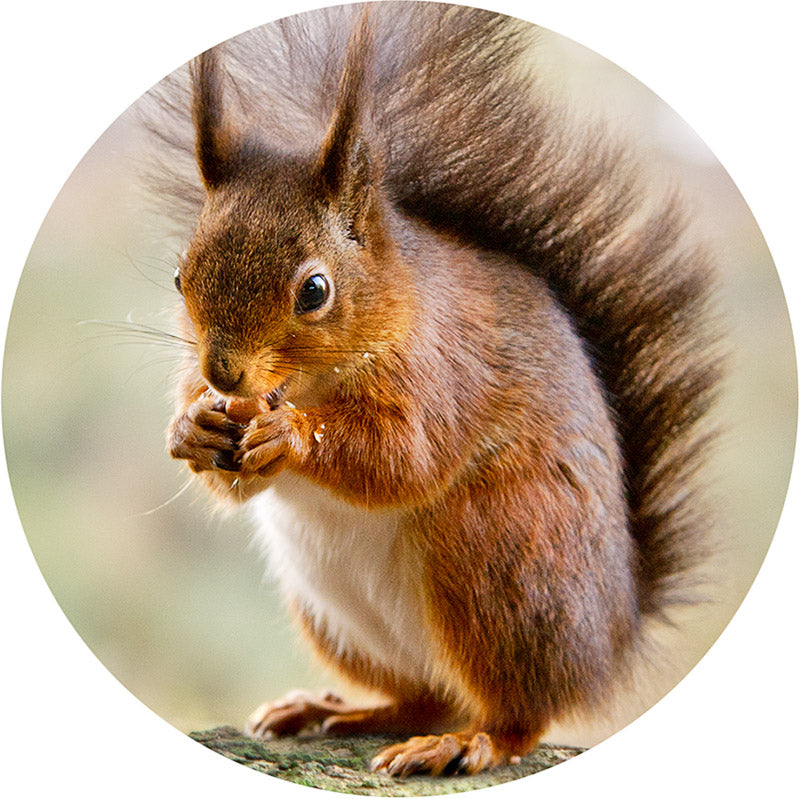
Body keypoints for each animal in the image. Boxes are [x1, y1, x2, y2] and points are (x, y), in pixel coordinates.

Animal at [153, 0, 720, 776]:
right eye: (181, 275)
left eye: (314, 291)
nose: (222, 373)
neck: (308, 380)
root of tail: (612, 639)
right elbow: (233, 482)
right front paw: (192, 427)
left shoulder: (441, 371)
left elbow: (404, 457)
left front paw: (292, 433)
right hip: (338, 615)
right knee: (425, 693)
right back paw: (338, 710)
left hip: (497, 558)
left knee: (517, 713)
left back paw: (465, 741)